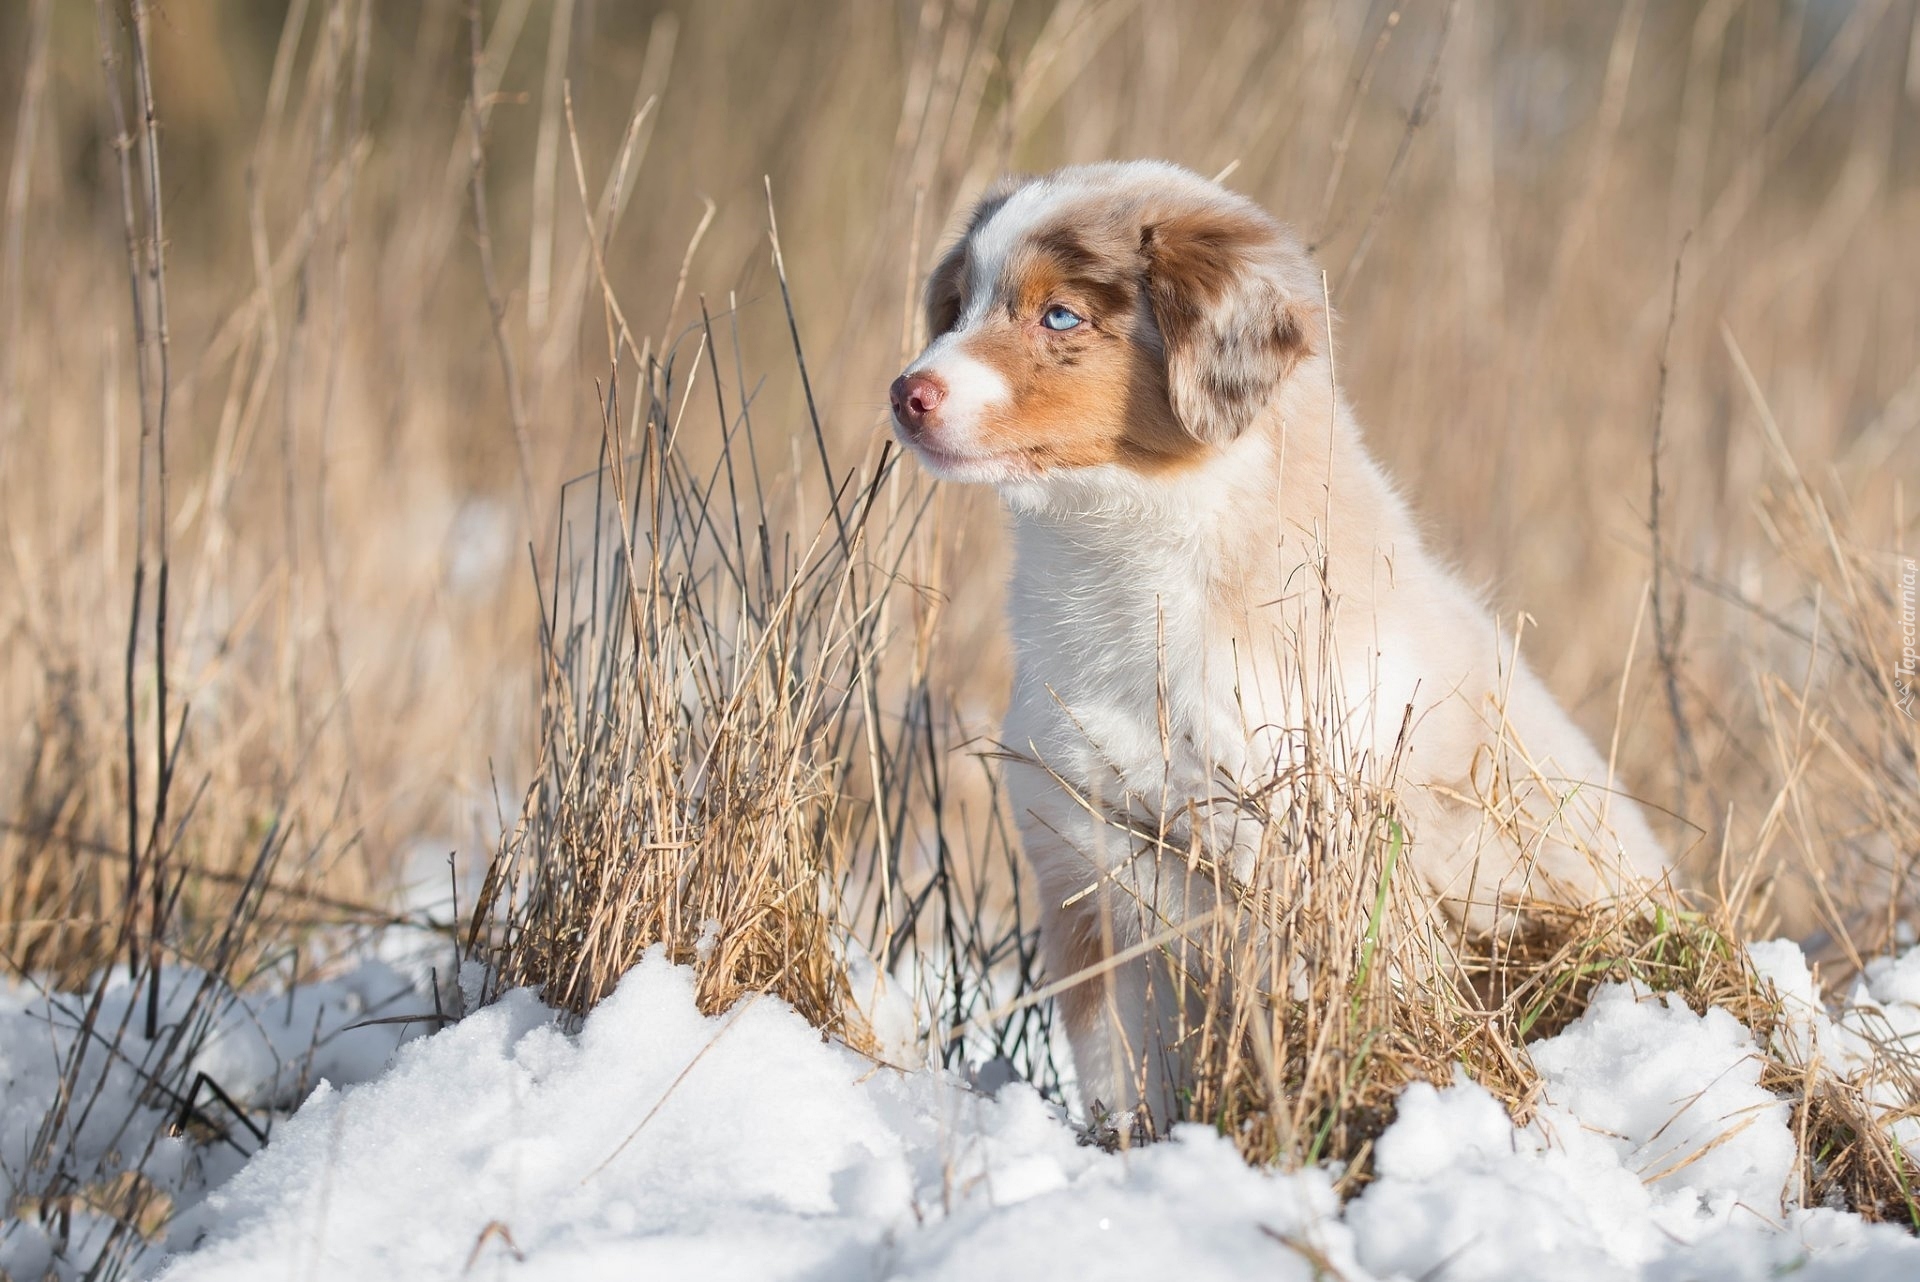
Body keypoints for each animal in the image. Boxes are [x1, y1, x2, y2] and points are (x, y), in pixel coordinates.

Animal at [883, 160, 1666, 1128]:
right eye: (956, 307)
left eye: (1059, 316)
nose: (907, 393)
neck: (1123, 550)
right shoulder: (1084, 866)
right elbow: (1120, 1068)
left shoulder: (1305, 859)